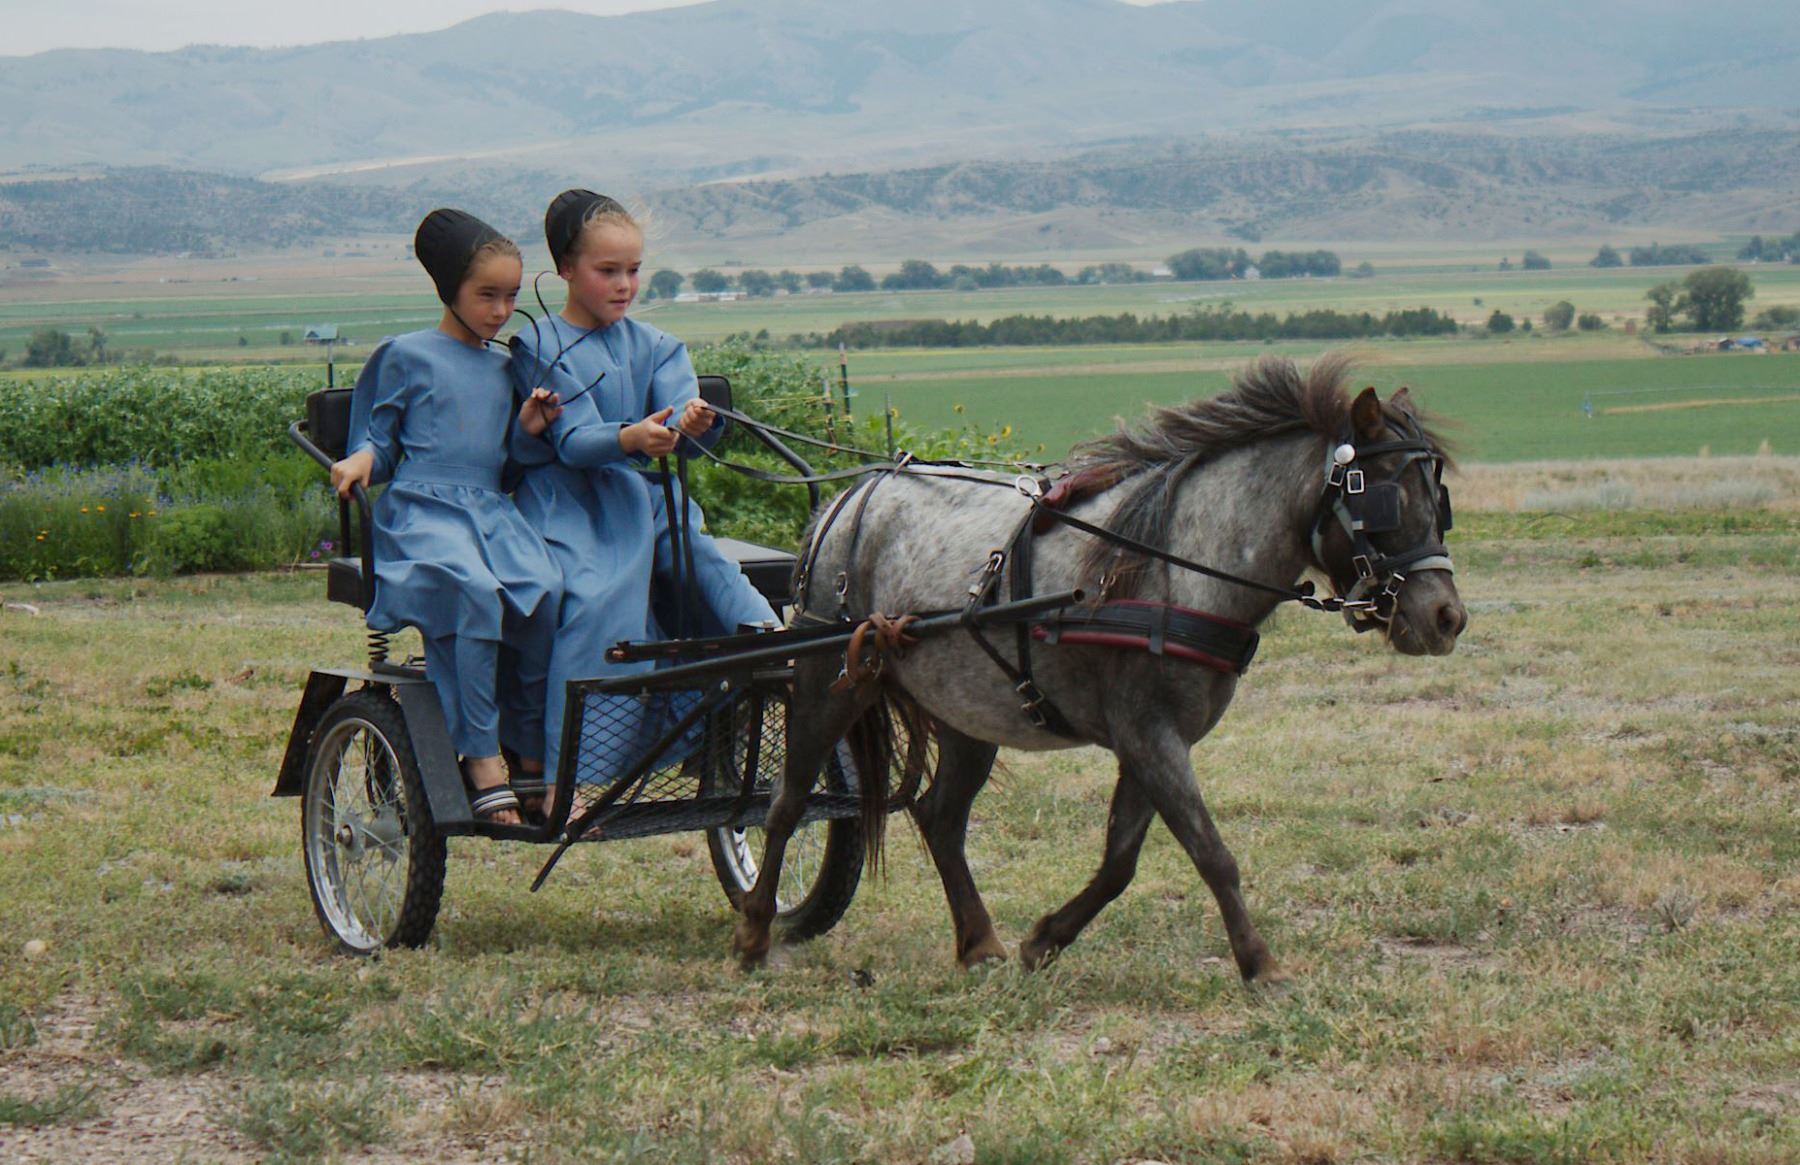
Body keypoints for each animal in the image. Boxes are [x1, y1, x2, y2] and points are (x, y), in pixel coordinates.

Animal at [733, 353, 1467, 984]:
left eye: (1441, 500)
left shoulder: (1153, 740)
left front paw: (1044, 939)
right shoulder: (1149, 735)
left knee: (940, 816)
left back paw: (979, 942)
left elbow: (1120, 861)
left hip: (969, 708)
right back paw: (755, 931)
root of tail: (849, 498)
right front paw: (1261, 964)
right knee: (786, 802)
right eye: (1384, 497)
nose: (1445, 617)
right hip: (828, 678)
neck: (1175, 564)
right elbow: (1211, 853)